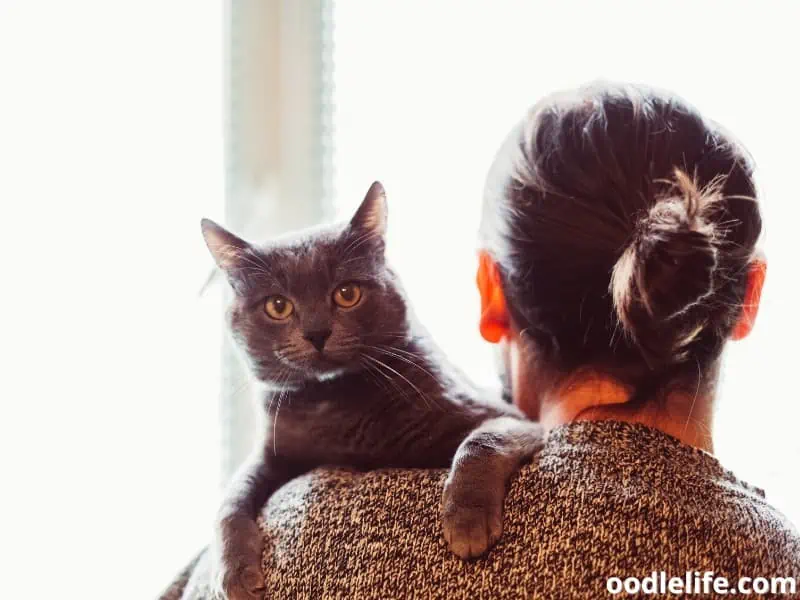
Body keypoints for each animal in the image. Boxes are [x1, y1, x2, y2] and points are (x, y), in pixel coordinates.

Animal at [176, 183, 544, 600]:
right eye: (277, 306)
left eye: (347, 293)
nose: (317, 333)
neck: (335, 405)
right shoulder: (273, 455)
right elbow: (231, 499)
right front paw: (233, 575)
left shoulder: (508, 417)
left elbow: (481, 441)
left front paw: (467, 523)